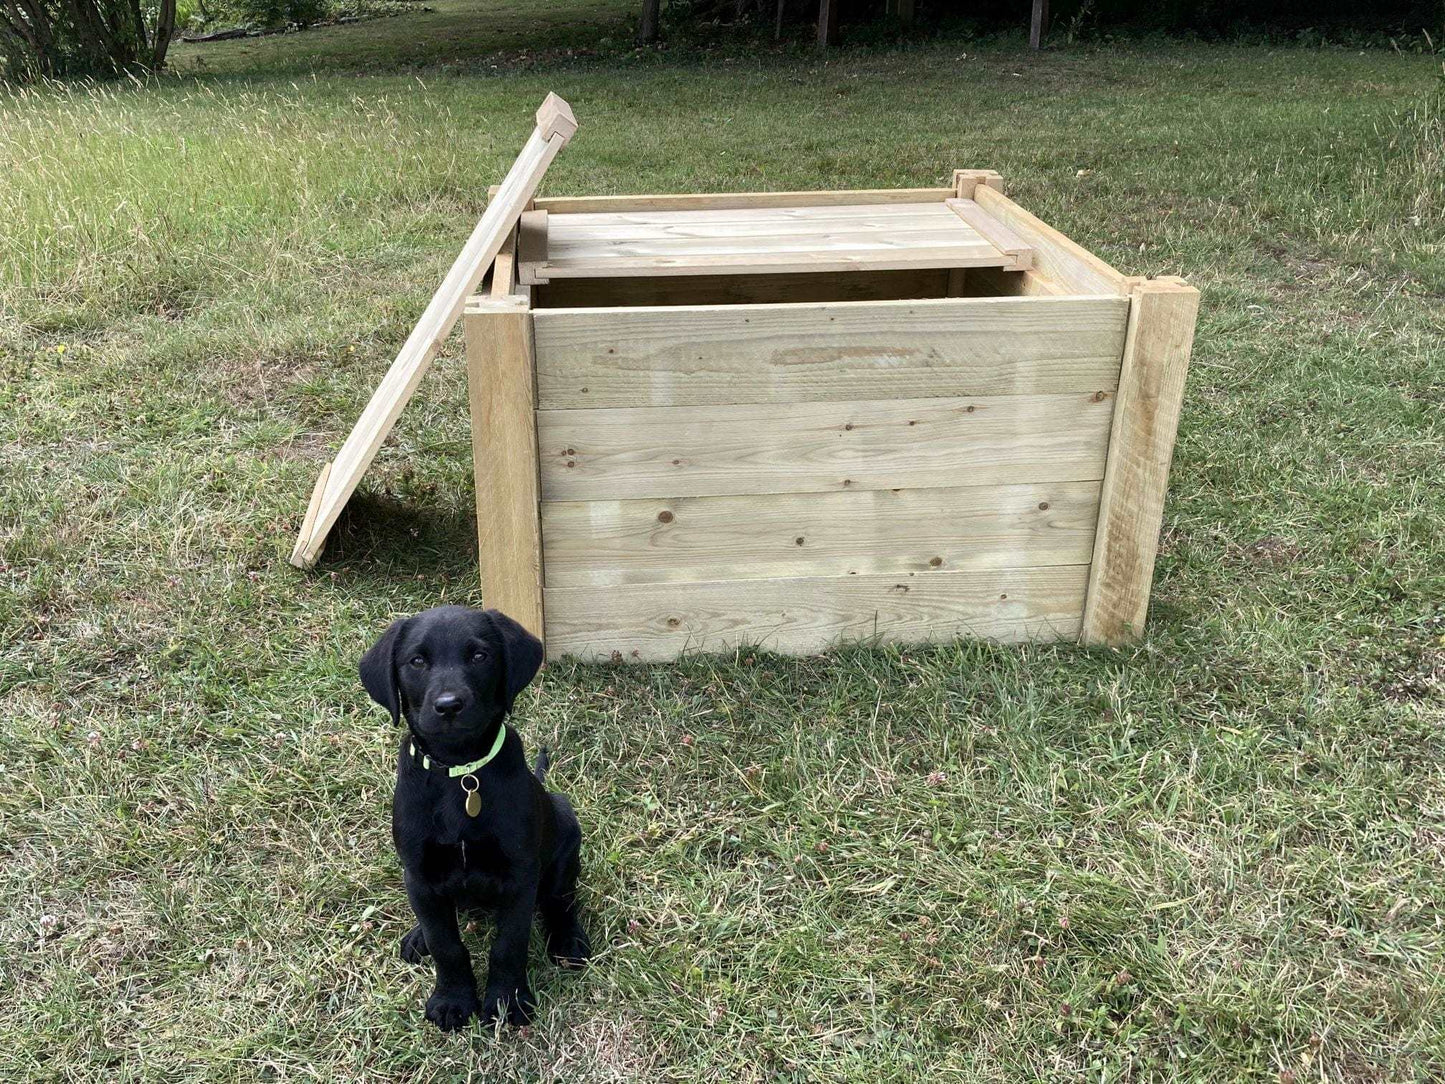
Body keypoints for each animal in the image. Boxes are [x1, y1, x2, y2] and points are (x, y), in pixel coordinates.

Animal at [359, 607, 586, 1029]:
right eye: (417, 661)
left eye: (479, 656)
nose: (449, 705)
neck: (460, 772)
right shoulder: (418, 872)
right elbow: (445, 943)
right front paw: (452, 999)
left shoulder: (520, 875)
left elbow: (509, 943)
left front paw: (507, 1001)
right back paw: (417, 936)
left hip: (564, 836)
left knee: (559, 900)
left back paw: (568, 940)